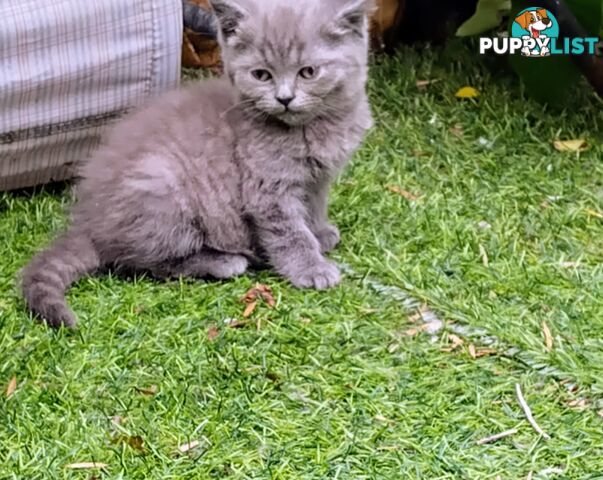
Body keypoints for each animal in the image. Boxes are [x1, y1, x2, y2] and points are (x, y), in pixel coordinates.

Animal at [21, 0, 372, 328]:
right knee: (138, 262)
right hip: (162, 186)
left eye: (308, 72)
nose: (284, 98)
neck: (310, 128)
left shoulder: (318, 178)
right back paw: (224, 262)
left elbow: (313, 206)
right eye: (261, 75)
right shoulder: (267, 190)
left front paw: (320, 232)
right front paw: (310, 267)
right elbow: (288, 231)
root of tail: (88, 224)